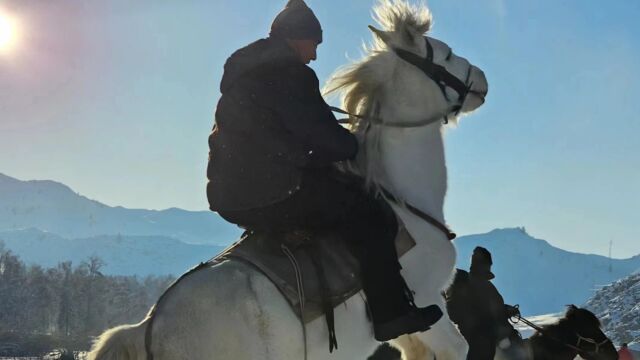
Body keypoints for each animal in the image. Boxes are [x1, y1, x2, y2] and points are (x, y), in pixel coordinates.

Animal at [90, 1, 488, 358]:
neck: (402, 198)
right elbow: (460, 347)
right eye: (445, 53)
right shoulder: (428, 304)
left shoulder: (413, 334)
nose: (482, 80)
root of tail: (148, 327)